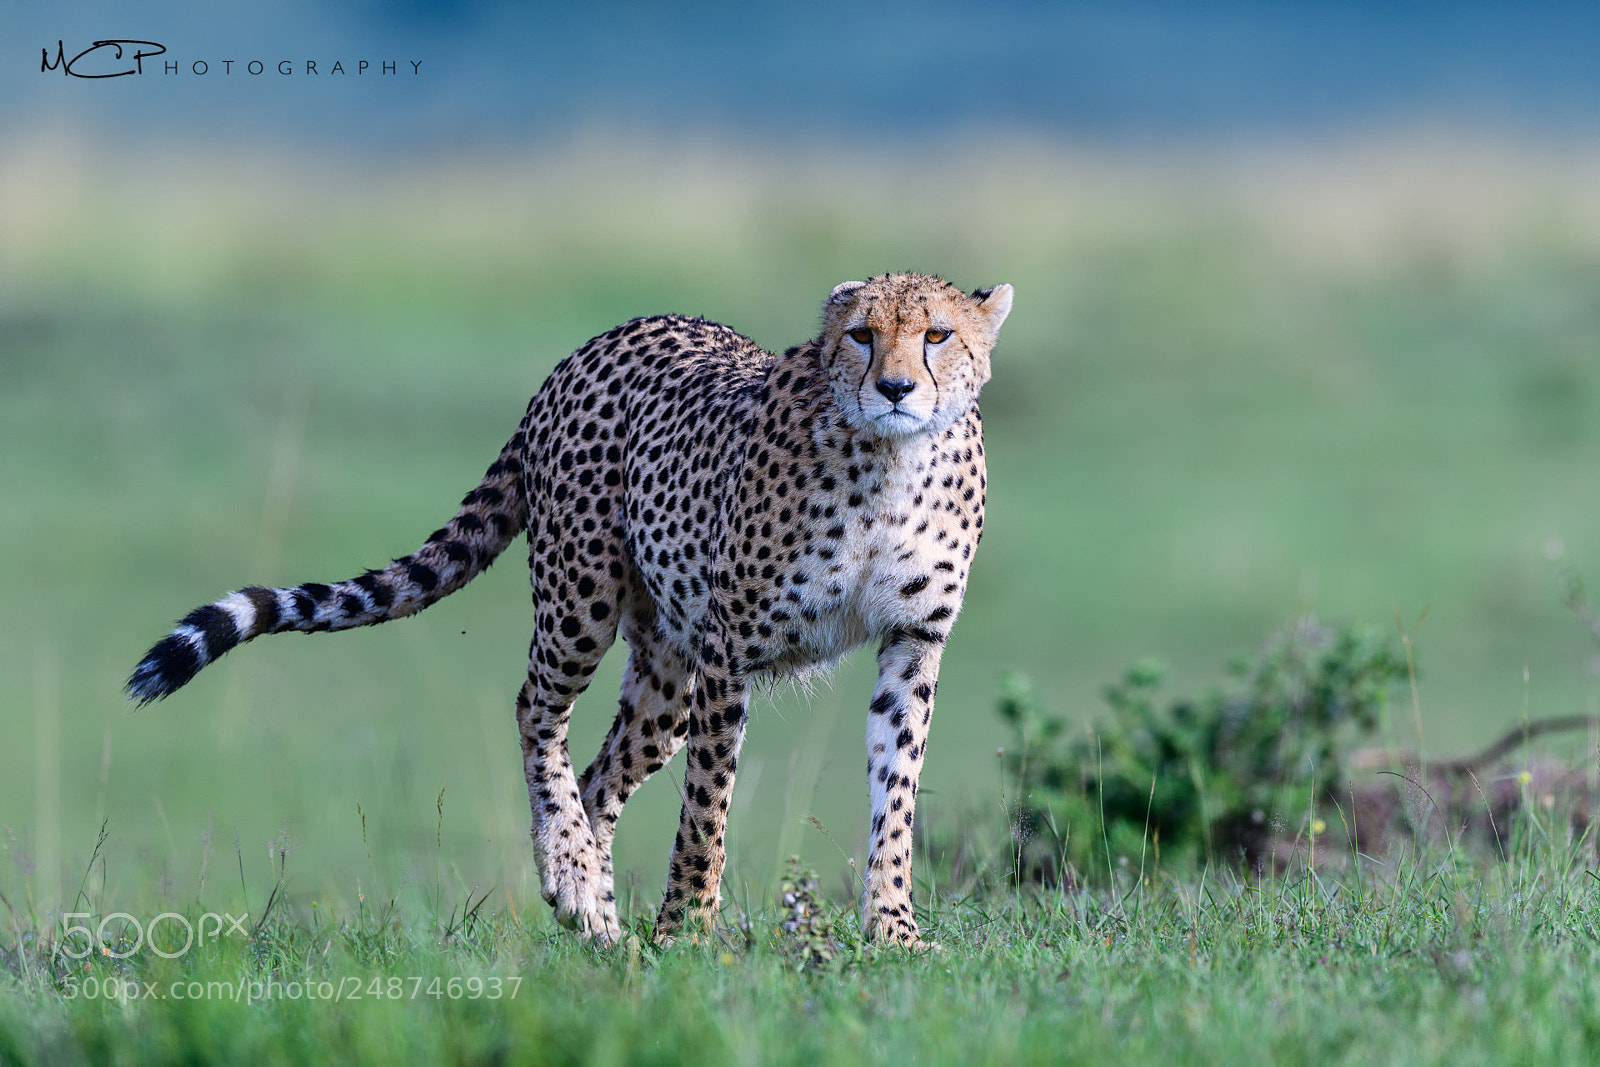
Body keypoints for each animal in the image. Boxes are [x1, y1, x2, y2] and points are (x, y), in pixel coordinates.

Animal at [127, 271, 1014, 947]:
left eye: (937, 335)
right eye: (862, 335)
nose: (895, 387)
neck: (892, 463)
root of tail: (596, 343)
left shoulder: (911, 642)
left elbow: (895, 792)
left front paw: (893, 928)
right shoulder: (731, 647)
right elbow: (708, 805)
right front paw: (689, 928)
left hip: (668, 672)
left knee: (600, 774)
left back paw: (588, 903)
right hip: (583, 599)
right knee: (535, 710)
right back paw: (576, 874)